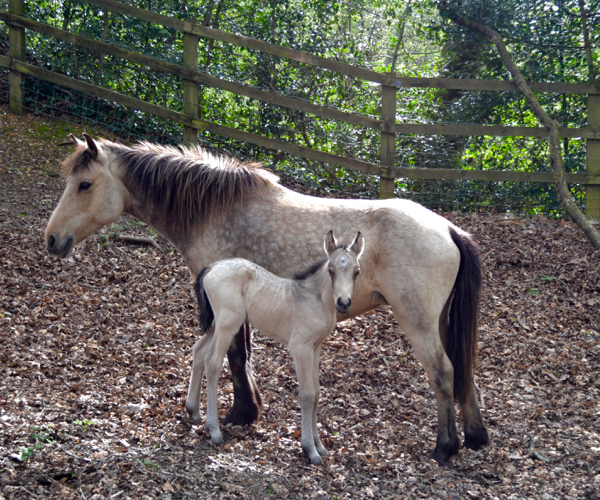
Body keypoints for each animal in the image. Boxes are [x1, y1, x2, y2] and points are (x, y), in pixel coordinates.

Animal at [185, 230, 364, 464]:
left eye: (356, 272)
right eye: (331, 270)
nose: (343, 303)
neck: (315, 299)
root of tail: (212, 267)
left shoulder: (315, 348)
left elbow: (317, 393)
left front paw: (319, 445)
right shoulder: (300, 348)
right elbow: (307, 395)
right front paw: (310, 449)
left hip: (217, 324)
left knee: (198, 351)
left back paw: (193, 411)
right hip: (228, 324)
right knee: (213, 363)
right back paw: (214, 430)